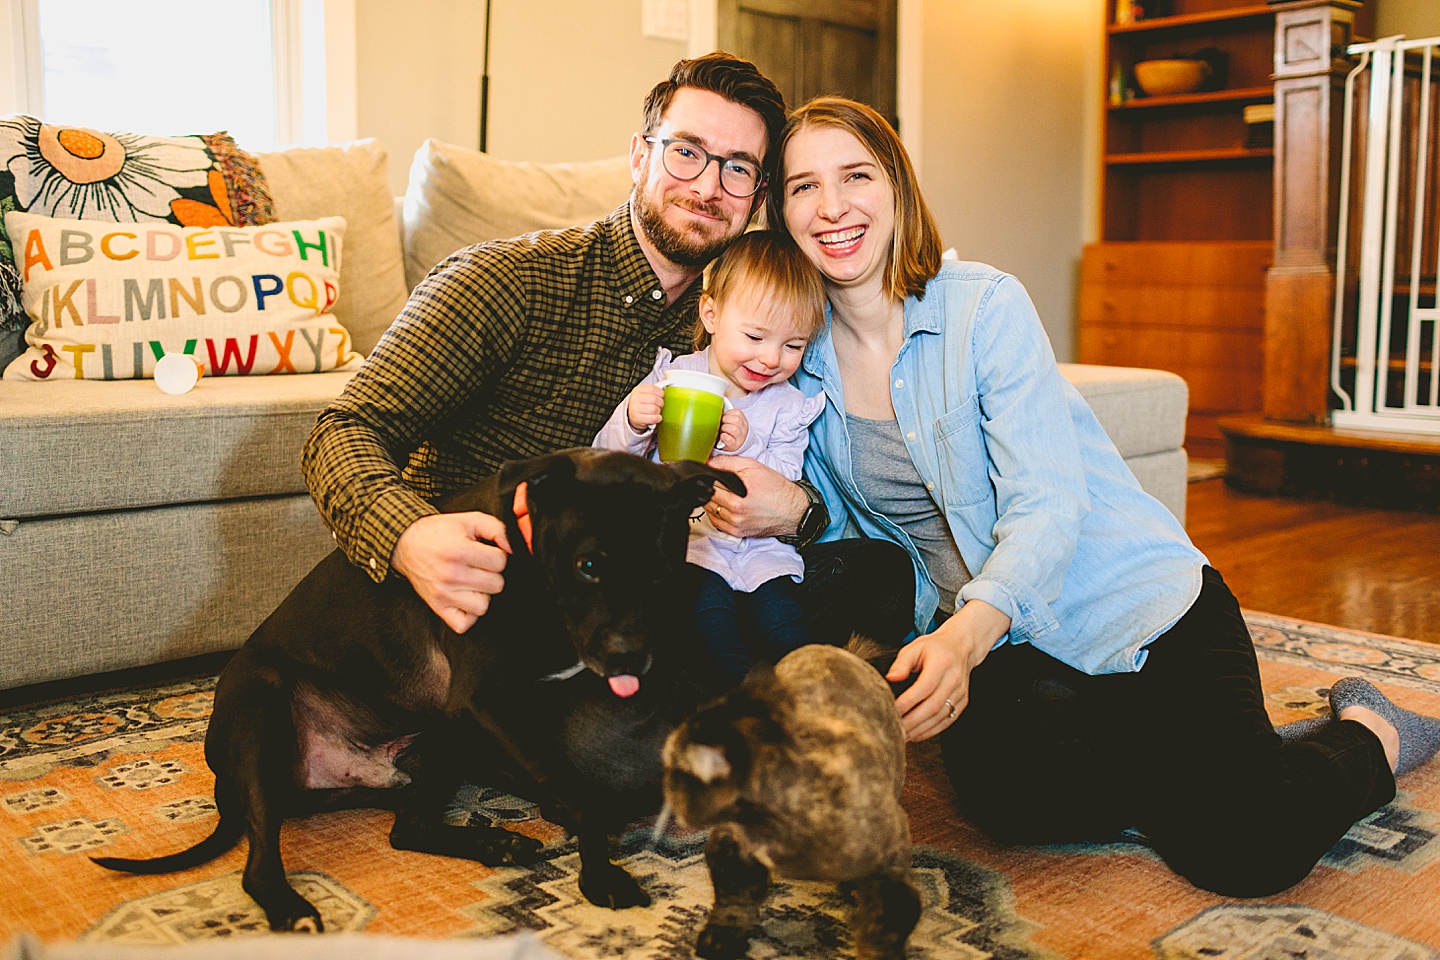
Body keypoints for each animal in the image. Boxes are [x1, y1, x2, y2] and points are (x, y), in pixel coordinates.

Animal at [91, 449, 743, 932]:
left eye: (662, 573)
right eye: (589, 566)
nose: (630, 659)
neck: (531, 565)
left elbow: (567, 778)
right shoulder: (488, 700)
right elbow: (577, 789)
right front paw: (600, 874)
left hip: (438, 744)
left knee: (405, 829)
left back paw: (495, 844)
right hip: (262, 708)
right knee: (260, 859)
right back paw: (289, 908)